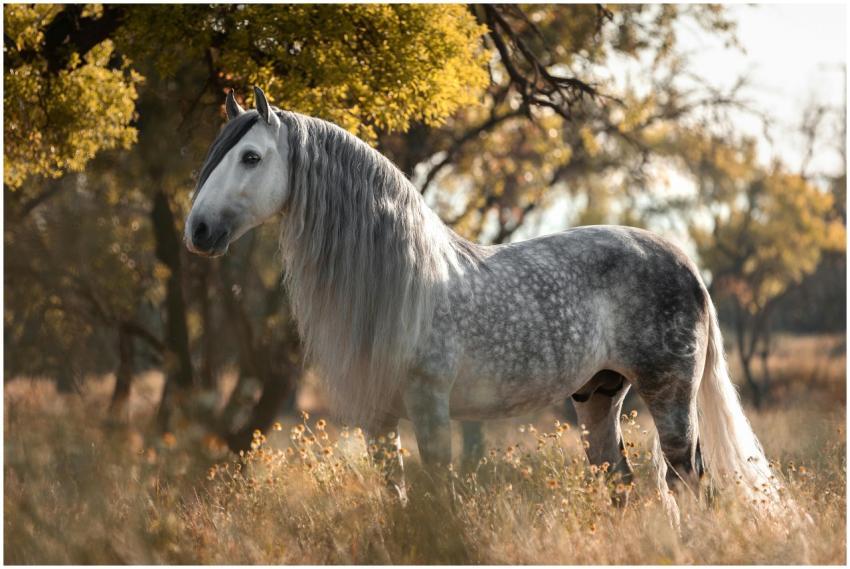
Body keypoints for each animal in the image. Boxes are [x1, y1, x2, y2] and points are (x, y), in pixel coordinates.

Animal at [185, 87, 781, 521]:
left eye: (251, 157)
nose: (198, 231)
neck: (403, 283)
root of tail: (683, 262)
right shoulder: (378, 418)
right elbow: (398, 496)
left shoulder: (430, 407)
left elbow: (437, 494)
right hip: (598, 396)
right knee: (621, 481)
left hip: (670, 396)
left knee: (689, 482)